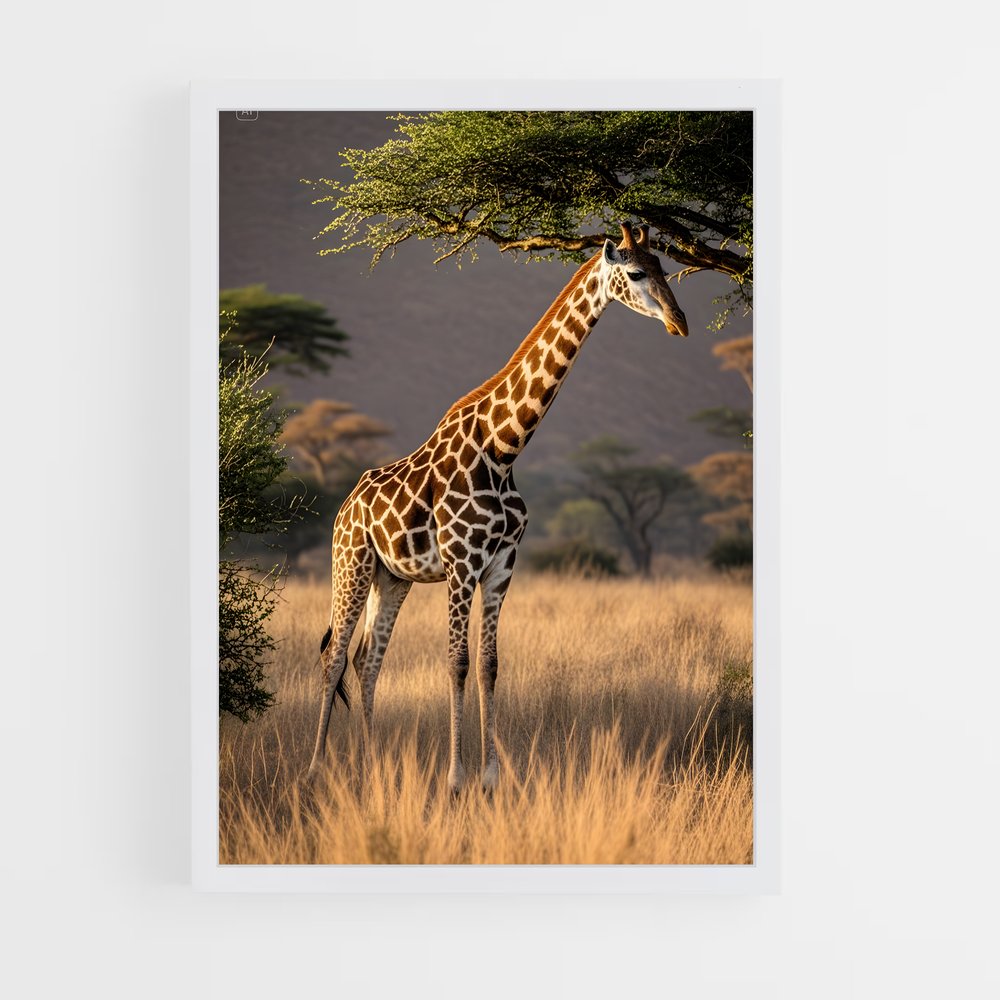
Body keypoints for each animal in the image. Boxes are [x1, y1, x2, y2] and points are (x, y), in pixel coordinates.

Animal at [306, 222, 688, 793]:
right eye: (638, 273)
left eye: (667, 266)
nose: (679, 322)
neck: (504, 447)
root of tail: (344, 508)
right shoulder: (462, 562)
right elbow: (457, 662)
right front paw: (455, 779)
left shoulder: (503, 564)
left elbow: (489, 664)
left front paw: (489, 778)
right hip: (350, 562)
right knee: (333, 657)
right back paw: (313, 771)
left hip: (391, 577)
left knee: (367, 659)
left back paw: (371, 768)